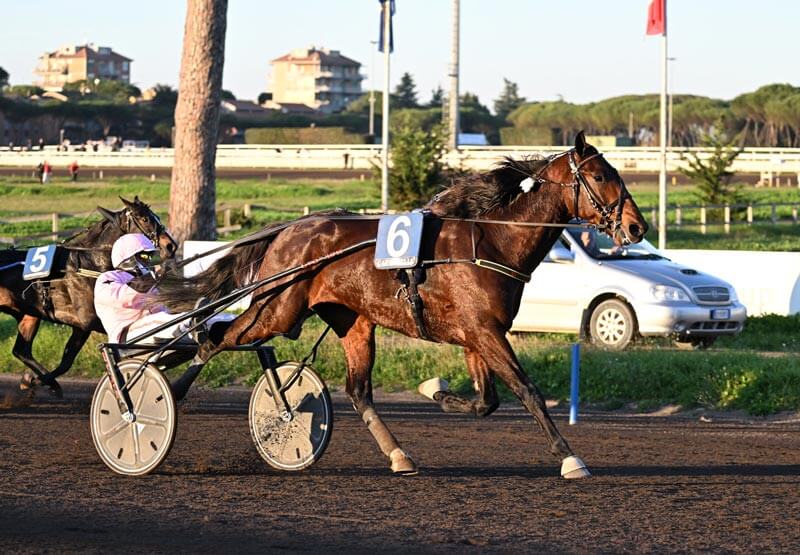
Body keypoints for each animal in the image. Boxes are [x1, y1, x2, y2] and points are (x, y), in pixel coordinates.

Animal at [0, 196, 176, 397]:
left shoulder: (80, 327)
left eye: (156, 217)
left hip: (29, 315)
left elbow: (66, 362)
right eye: (145, 219)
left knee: (21, 351)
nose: (171, 245)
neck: (88, 264)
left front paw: (35, 380)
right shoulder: (89, 320)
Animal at [157, 132, 648, 478]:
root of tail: (288, 230)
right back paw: (171, 392)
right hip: (277, 309)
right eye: (601, 177)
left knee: (358, 392)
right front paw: (570, 458)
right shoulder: (486, 332)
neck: (491, 240)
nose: (636, 226)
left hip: (353, 321)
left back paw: (398, 455)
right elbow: (528, 391)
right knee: (216, 337)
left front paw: (436, 391)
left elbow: (487, 401)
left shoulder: (477, 336)